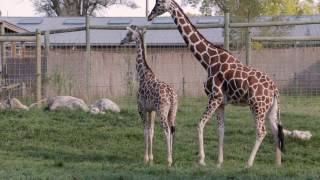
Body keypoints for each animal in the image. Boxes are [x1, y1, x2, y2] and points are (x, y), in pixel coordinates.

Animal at [121, 25, 179, 167]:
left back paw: (168, 160)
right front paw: (151, 158)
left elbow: (145, 131)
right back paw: (171, 157)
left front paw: (145, 158)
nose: (121, 41)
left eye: (128, 33)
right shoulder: (151, 110)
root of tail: (172, 96)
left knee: (166, 130)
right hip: (173, 111)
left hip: (162, 111)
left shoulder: (141, 108)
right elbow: (151, 131)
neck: (143, 74)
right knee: (172, 130)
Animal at [146, 0, 284, 167]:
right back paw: (278, 163)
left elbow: (200, 124)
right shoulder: (221, 102)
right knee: (276, 130)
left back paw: (248, 163)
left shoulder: (214, 97)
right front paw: (219, 162)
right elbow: (221, 130)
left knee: (261, 131)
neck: (208, 60)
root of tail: (274, 89)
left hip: (257, 106)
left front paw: (201, 160)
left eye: (159, 3)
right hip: (270, 109)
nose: (149, 15)